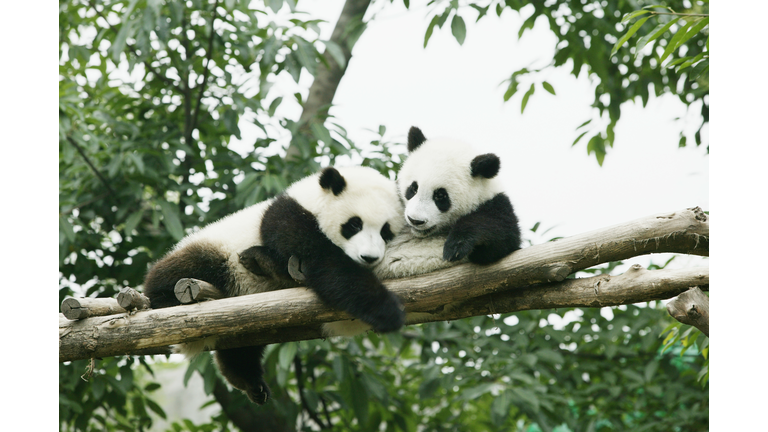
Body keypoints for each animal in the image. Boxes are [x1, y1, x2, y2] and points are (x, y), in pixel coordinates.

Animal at [142, 166, 406, 405]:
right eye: (354, 225)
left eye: (386, 231)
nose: (369, 257)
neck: (312, 201)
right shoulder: (288, 219)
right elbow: (327, 264)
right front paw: (387, 311)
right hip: (215, 253)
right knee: (182, 270)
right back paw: (165, 298)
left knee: (241, 347)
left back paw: (249, 381)